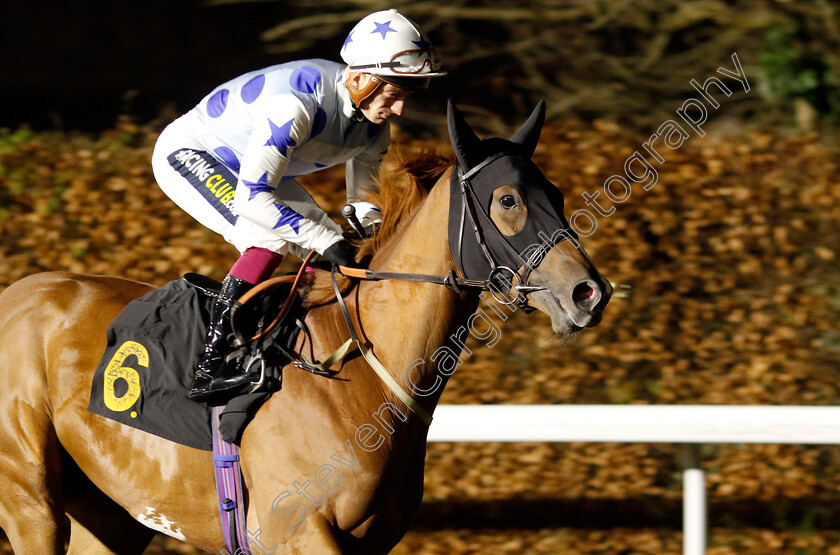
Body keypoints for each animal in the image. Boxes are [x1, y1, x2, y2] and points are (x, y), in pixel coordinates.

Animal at [0, 102, 612, 552]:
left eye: (556, 195)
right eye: (507, 200)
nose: (589, 293)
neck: (359, 372)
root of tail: (17, 292)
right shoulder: (291, 531)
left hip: (111, 516)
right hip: (32, 501)